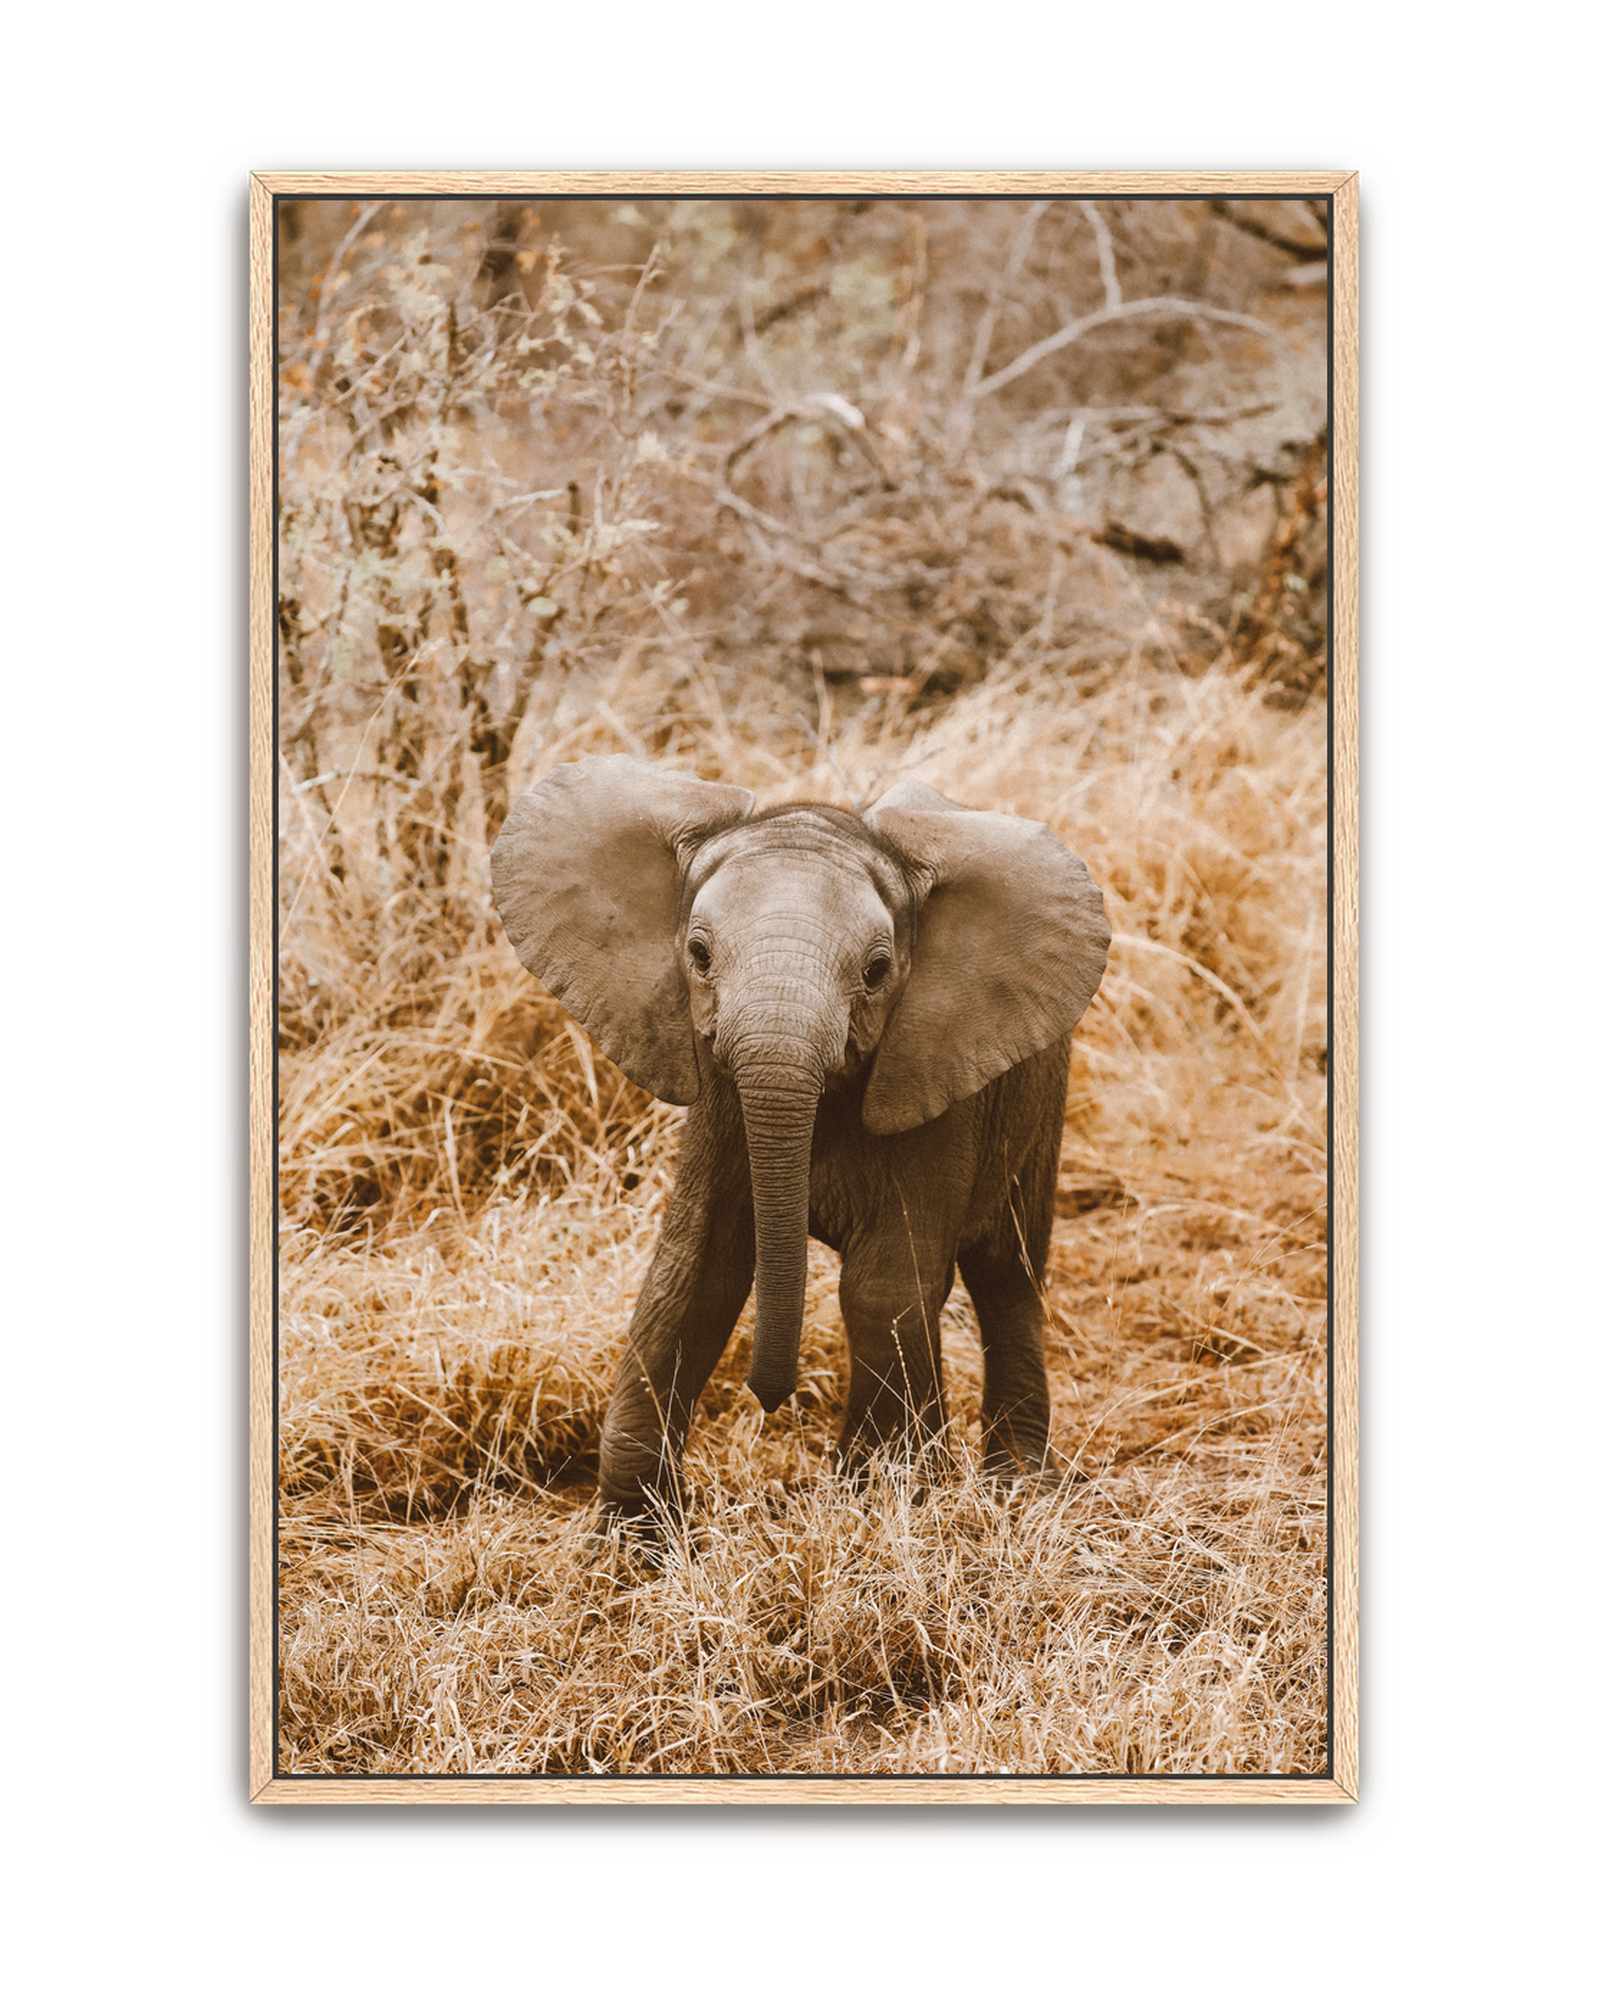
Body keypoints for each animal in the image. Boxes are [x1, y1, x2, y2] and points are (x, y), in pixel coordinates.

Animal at [490, 753, 1110, 1525]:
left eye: (877, 971)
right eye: (698, 954)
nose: (769, 1399)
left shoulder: (935, 1075)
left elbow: (884, 1284)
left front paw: (883, 1498)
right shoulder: (720, 1098)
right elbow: (693, 1273)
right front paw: (636, 1539)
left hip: (1039, 1095)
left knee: (1009, 1274)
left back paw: (1021, 1485)